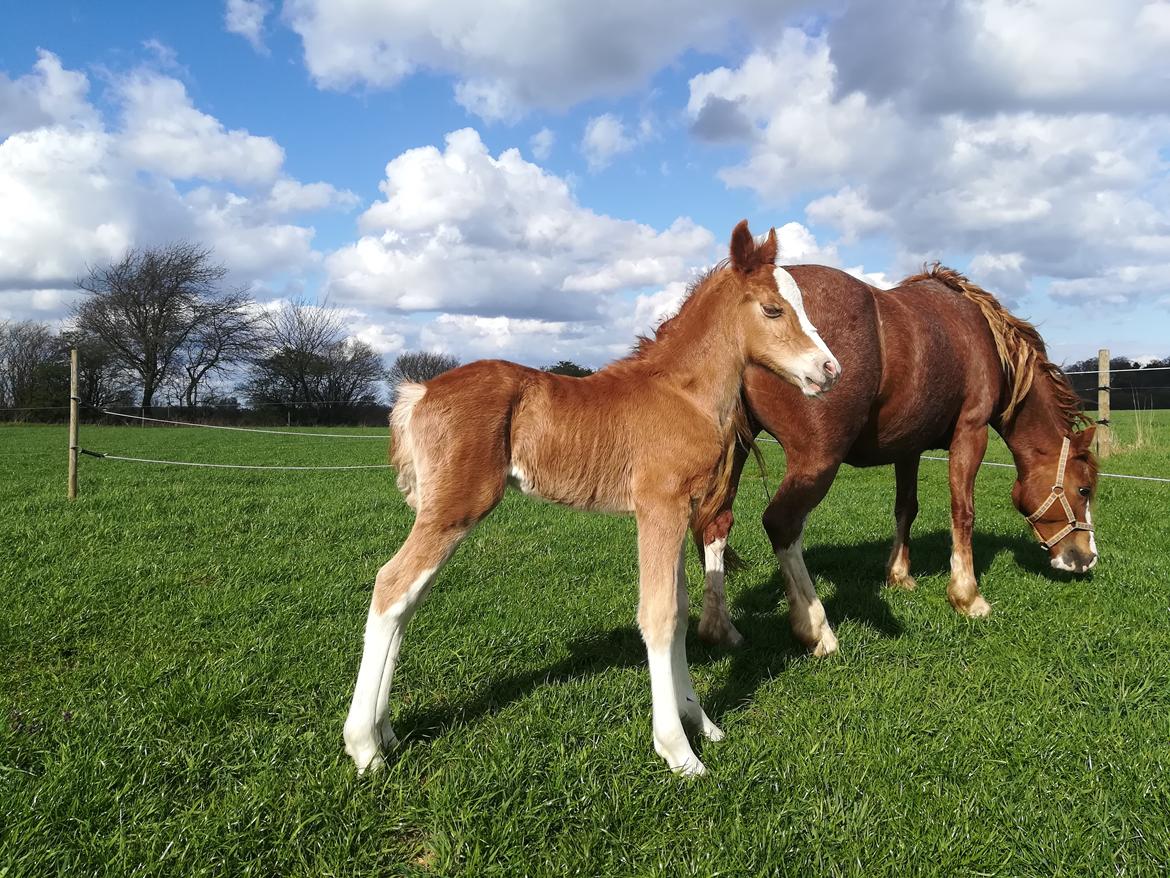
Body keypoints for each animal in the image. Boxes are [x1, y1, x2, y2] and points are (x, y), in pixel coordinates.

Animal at [341, 223, 842, 782]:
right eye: (773, 309)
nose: (830, 368)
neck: (681, 394)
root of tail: (419, 392)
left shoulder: (679, 511)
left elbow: (679, 609)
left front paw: (701, 722)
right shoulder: (658, 508)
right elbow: (659, 614)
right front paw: (678, 751)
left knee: (407, 599)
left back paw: (386, 733)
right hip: (454, 509)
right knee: (391, 586)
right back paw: (364, 746)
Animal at [697, 264, 1099, 655]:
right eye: (1084, 489)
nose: (1087, 557)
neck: (979, 333)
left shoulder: (909, 447)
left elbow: (906, 507)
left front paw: (899, 574)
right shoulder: (971, 432)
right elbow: (963, 511)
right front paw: (967, 597)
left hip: (736, 451)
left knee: (717, 522)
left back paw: (719, 628)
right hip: (816, 460)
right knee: (782, 524)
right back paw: (817, 631)